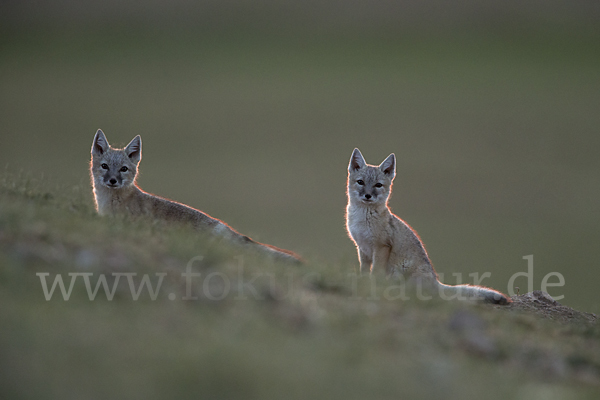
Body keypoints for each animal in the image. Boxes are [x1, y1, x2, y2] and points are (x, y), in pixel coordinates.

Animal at [344, 148, 508, 304]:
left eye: (378, 185)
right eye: (360, 182)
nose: (368, 195)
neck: (362, 218)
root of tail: (436, 282)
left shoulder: (382, 246)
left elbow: (375, 273)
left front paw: (373, 286)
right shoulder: (362, 248)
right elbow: (364, 272)